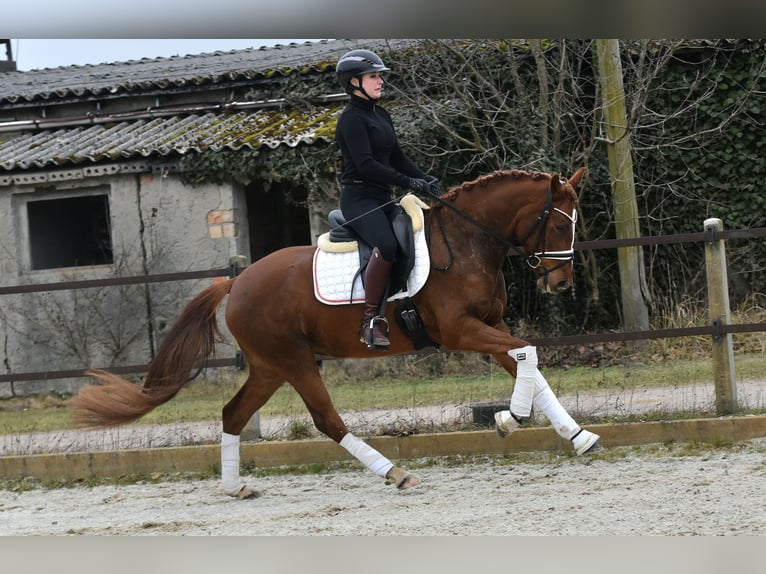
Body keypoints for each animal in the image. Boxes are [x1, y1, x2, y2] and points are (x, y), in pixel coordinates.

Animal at [72, 166, 600, 500]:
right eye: (558, 225)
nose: (561, 283)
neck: (467, 241)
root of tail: (237, 282)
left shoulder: (491, 325)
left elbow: (530, 363)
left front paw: (577, 437)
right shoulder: (460, 330)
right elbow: (529, 354)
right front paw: (510, 419)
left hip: (270, 366)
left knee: (234, 414)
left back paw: (235, 486)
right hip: (294, 361)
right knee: (327, 421)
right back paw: (396, 474)